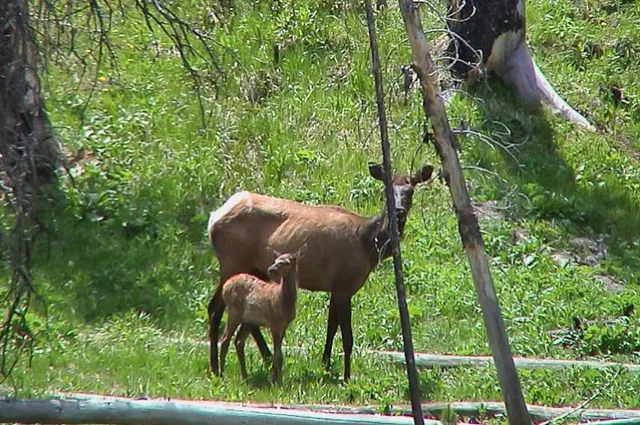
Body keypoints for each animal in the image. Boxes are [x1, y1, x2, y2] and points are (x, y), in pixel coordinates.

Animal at [219, 249, 303, 383]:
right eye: (275, 260)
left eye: (286, 262)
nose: (271, 269)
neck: (283, 301)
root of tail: (224, 287)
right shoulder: (274, 322)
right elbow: (278, 355)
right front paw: (276, 381)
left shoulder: (283, 326)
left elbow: (279, 354)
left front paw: (276, 378)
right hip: (234, 311)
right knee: (225, 339)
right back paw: (221, 374)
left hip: (249, 320)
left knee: (239, 341)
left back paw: (245, 376)